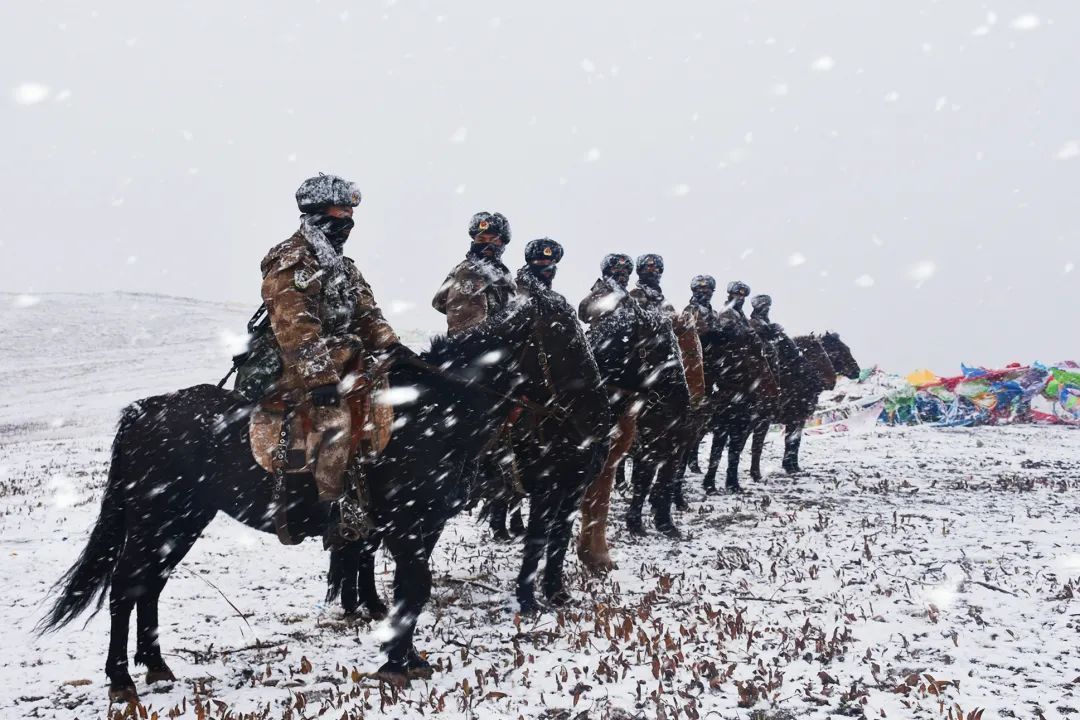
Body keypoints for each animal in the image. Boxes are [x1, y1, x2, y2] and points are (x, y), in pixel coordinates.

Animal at [38, 291, 583, 699]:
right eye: (567, 334)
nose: (591, 403)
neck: (429, 414)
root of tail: (146, 410)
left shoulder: (422, 528)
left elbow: (412, 591)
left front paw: (409, 657)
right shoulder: (408, 528)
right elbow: (411, 589)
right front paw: (396, 664)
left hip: (183, 522)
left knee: (149, 585)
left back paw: (156, 667)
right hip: (157, 518)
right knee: (126, 585)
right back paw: (121, 679)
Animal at [328, 289, 613, 617]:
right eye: (562, 333)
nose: (600, 418)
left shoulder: (572, 490)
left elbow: (559, 543)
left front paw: (557, 593)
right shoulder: (547, 491)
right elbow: (537, 543)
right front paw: (528, 601)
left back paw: (362, 603)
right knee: (364, 548)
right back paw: (366, 604)